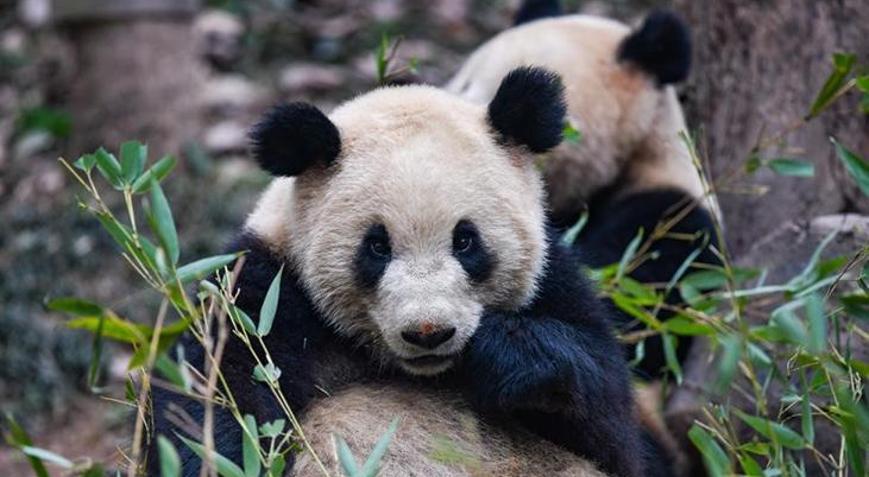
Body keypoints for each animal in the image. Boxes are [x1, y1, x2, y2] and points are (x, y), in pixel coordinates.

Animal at [148, 67, 677, 477]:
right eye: (377, 246)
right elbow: (218, 406)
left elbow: (612, 425)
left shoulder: (553, 280)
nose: (429, 332)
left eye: (465, 240)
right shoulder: (265, 293)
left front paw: (504, 354)